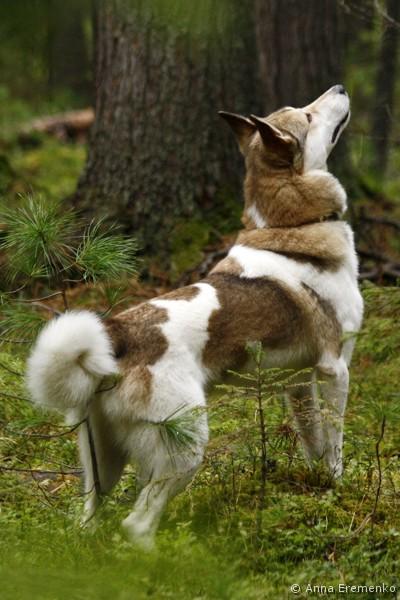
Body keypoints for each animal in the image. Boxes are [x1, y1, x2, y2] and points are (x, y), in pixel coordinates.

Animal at [27, 85, 363, 547]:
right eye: (308, 116)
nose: (340, 88)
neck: (291, 226)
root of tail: (116, 334)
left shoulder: (296, 383)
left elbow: (313, 440)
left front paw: (317, 485)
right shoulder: (335, 369)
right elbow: (335, 443)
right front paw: (338, 487)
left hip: (101, 464)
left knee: (89, 519)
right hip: (186, 446)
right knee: (137, 523)